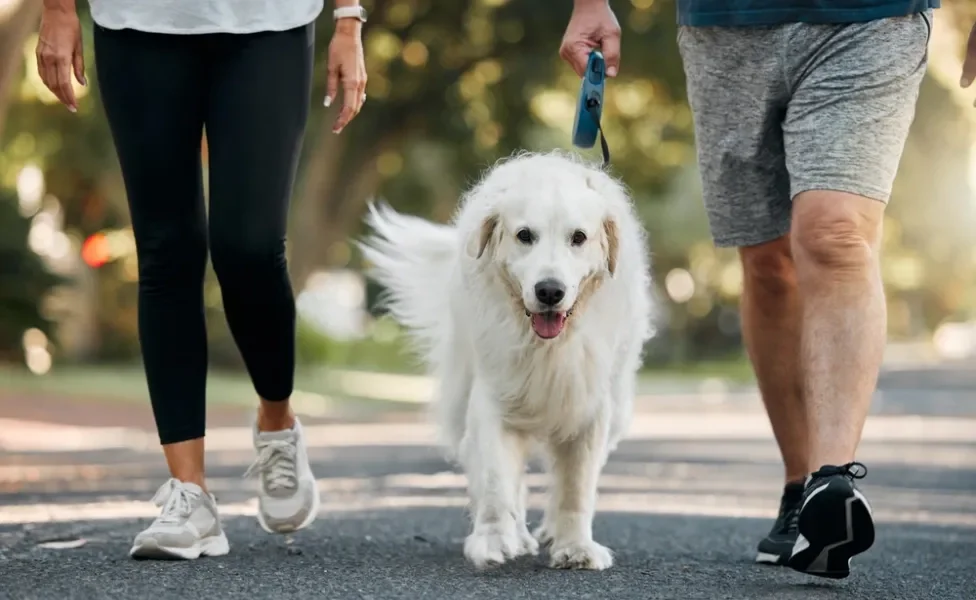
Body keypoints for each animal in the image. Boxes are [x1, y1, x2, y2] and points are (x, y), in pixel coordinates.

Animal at [358, 151, 656, 572]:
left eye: (578, 238)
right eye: (524, 235)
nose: (549, 291)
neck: (547, 346)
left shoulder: (589, 406)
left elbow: (577, 486)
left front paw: (575, 547)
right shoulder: (493, 397)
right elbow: (497, 480)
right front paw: (495, 540)